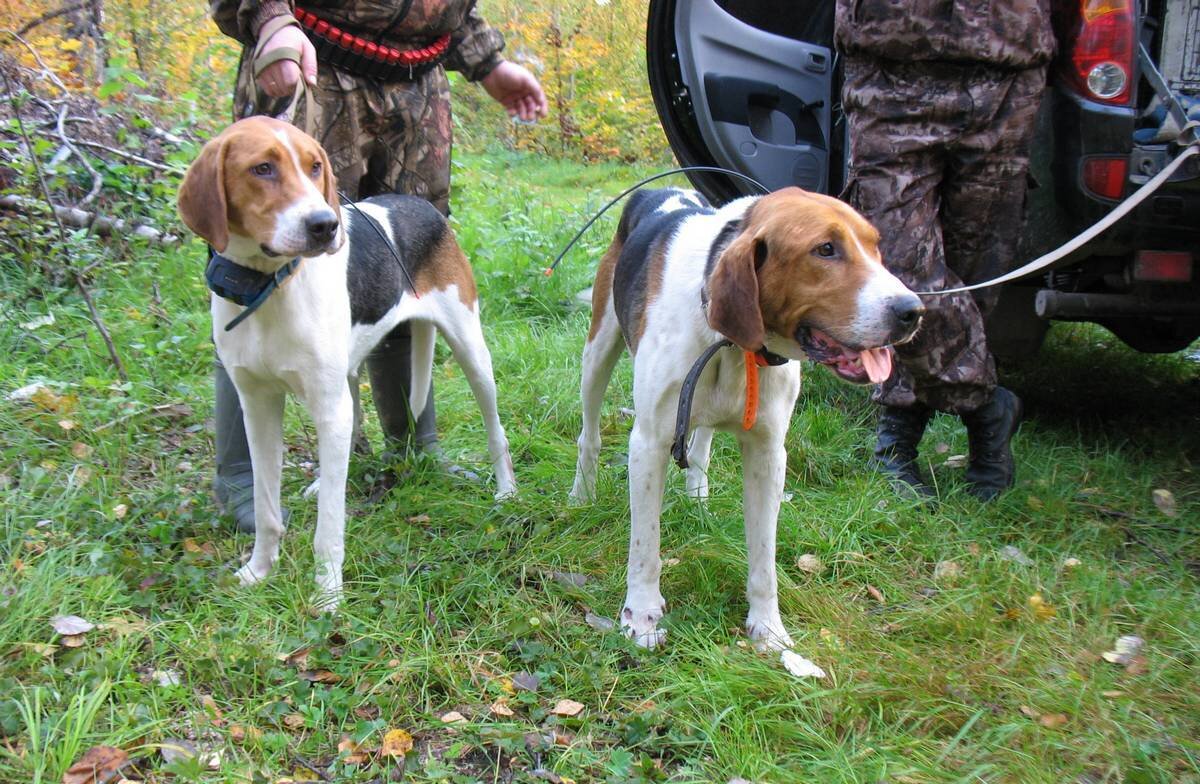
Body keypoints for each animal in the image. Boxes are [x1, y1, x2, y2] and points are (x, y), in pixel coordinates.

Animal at [177, 112, 516, 607]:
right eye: (262, 169)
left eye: (315, 166)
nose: (324, 225)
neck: (270, 286)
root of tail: (423, 206)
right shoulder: (257, 406)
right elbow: (266, 507)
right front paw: (260, 571)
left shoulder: (325, 406)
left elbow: (329, 528)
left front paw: (327, 597)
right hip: (346, 380)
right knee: (351, 425)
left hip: (471, 352)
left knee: (496, 430)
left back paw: (506, 490)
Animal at [566, 186, 921, 653]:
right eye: (825, 249)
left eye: (877, 246)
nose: (913, 311)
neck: (733, 345)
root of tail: (657, 190)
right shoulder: (648, 444)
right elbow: (645, 548)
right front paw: (640, 617)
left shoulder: (768, 455)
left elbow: (764, 560)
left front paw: (768, 629)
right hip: (597, 352)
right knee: (589, 436)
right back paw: (582, 494)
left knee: (700, 447)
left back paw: (697, 498)